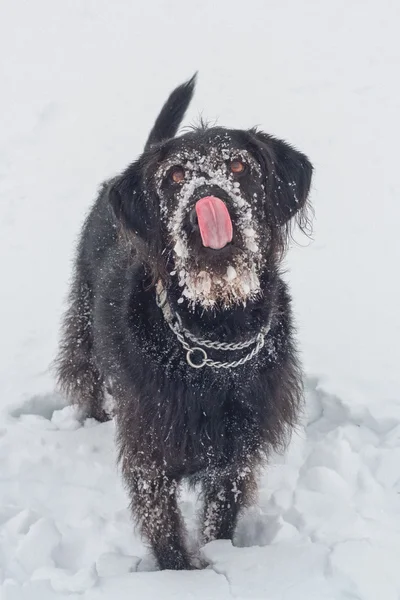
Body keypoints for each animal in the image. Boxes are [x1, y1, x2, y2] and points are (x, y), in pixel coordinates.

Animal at [55, 75, 312, 568]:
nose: (206, 198)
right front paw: (180, 575)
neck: (214, 334)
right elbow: (164, 528)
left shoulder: (238, 448)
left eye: (238, 166)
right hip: (83, 324)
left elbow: (221, 515)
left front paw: (218, 555)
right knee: (84, 375)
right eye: (175, 176)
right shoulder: (149, 449)